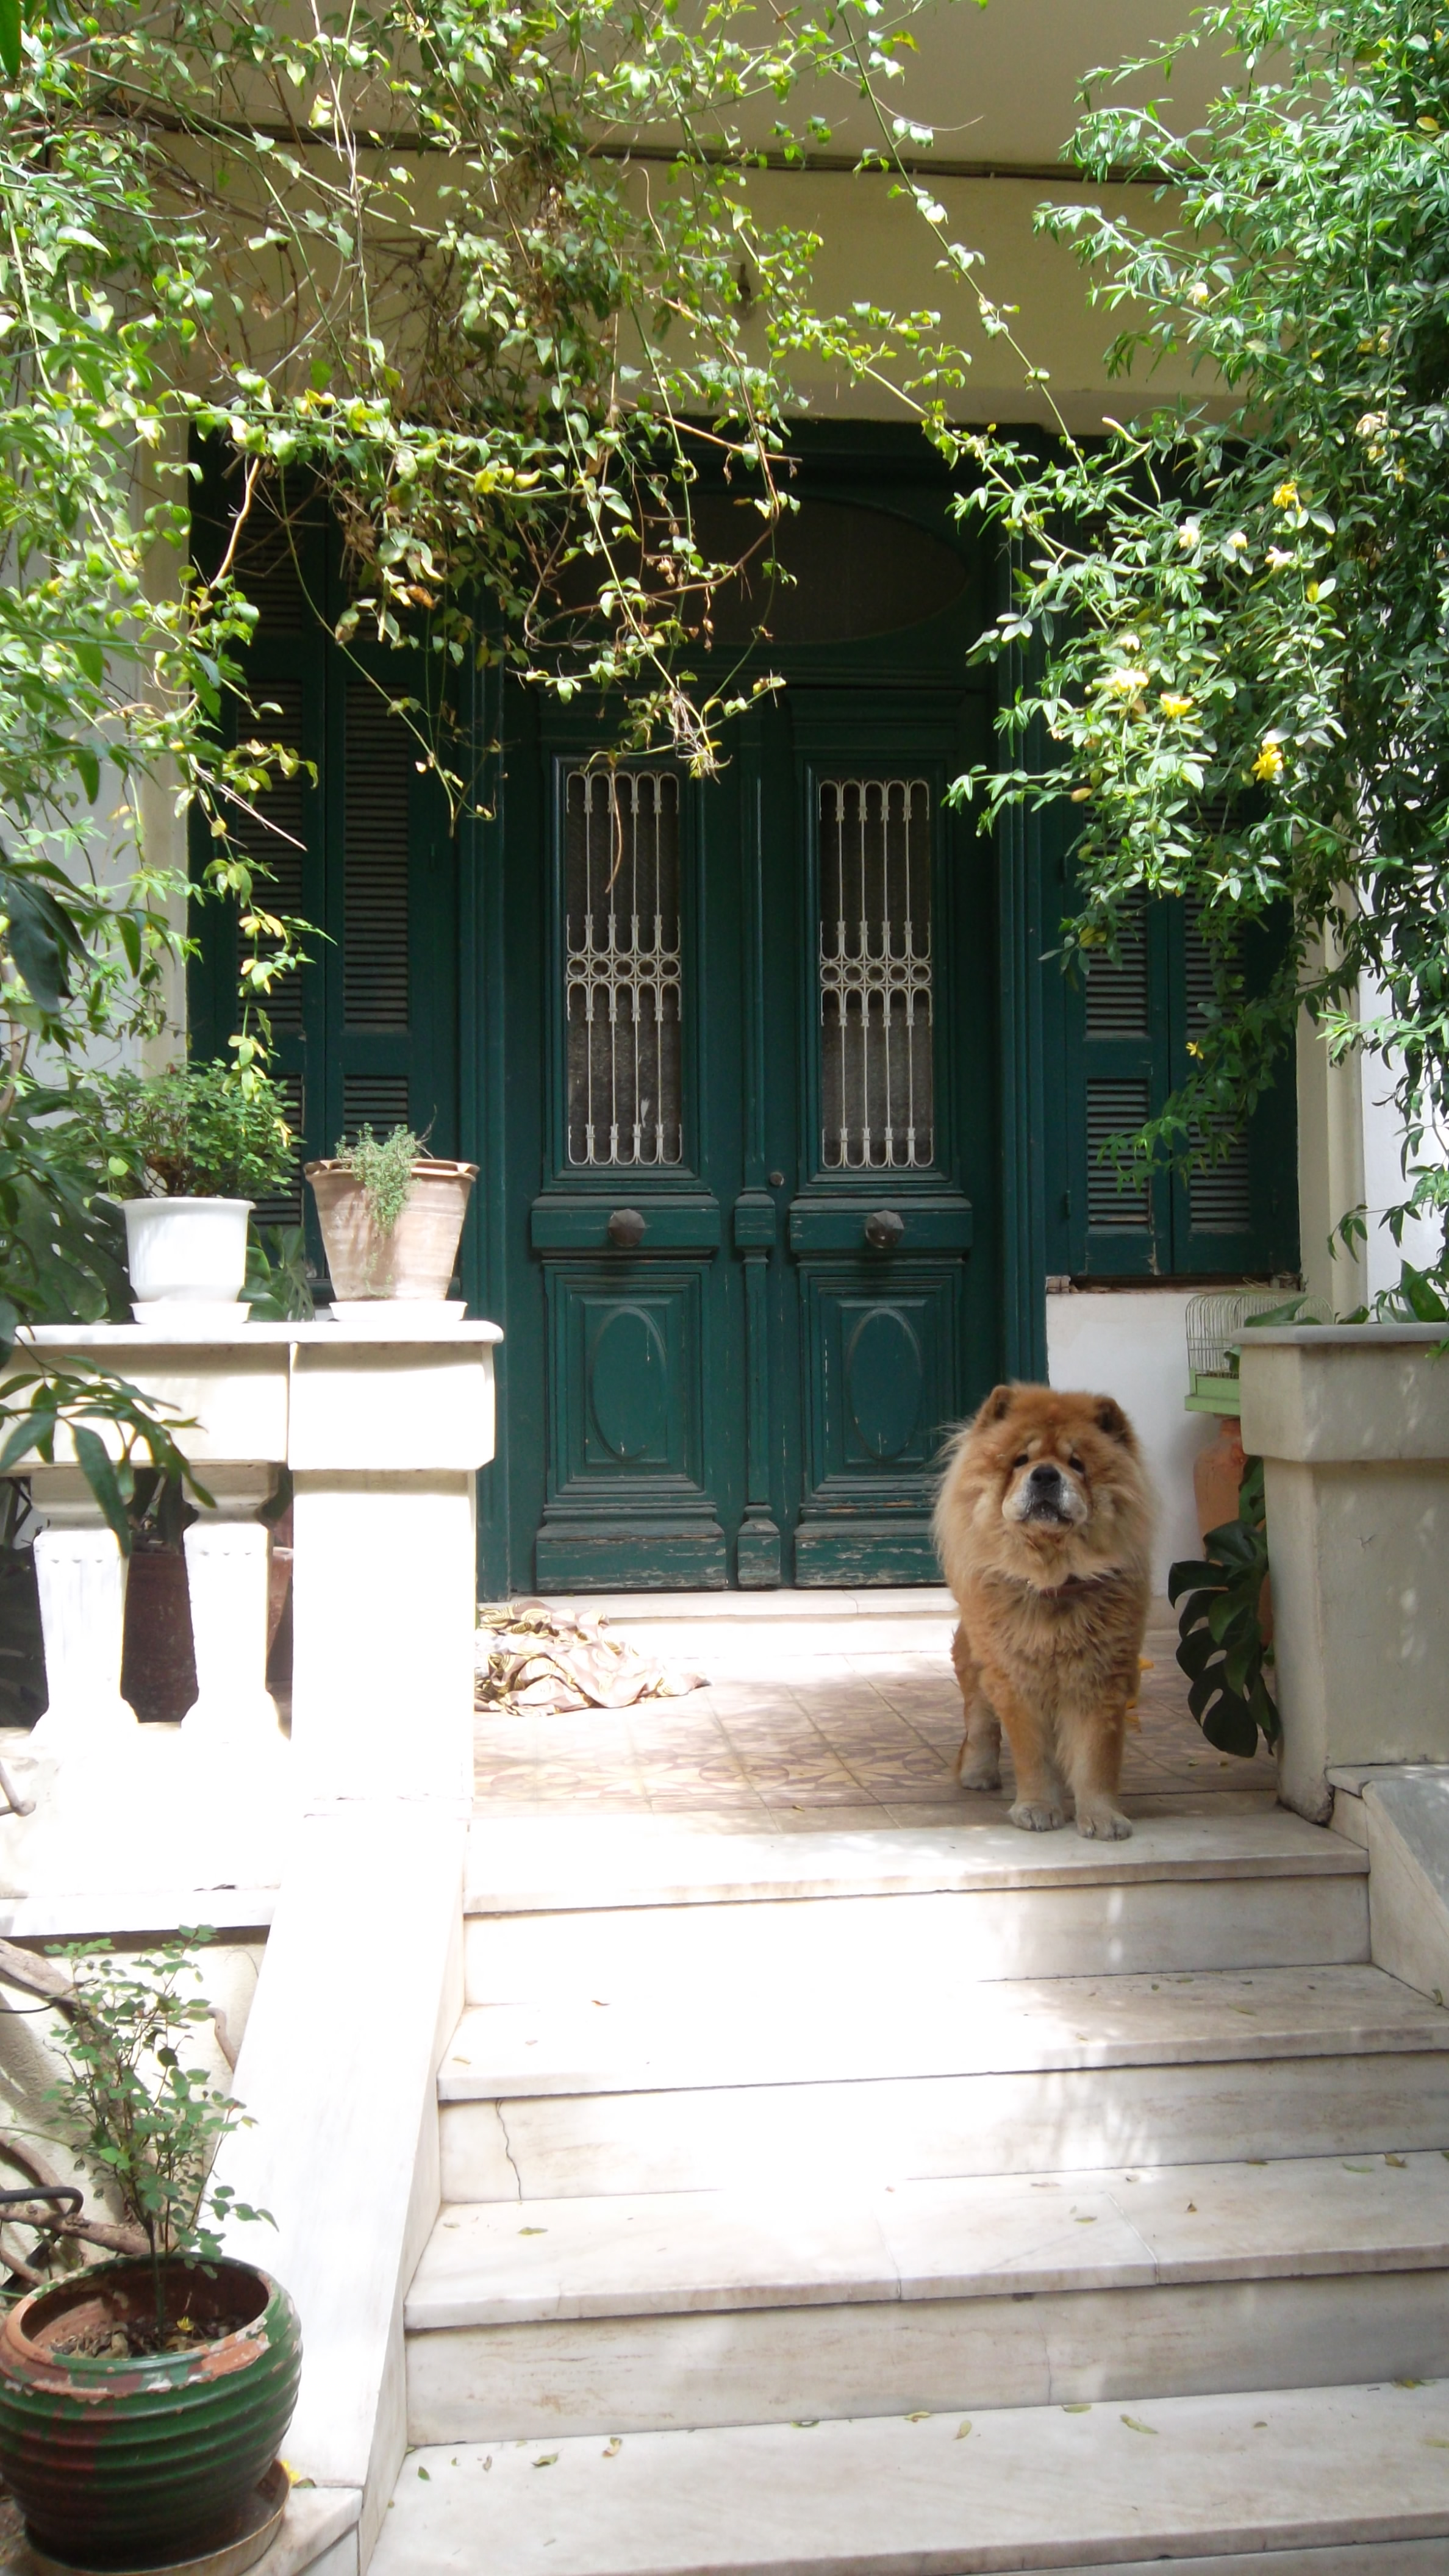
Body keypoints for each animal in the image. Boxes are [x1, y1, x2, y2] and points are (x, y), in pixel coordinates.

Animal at [938, 1381, 1150, 1844]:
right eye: (1021, 1460)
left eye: (1077, 1464)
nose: (1046, 1475)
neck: (1054, 1575)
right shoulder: (1016, 1679)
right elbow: (1031, 1753)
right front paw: (1037, 1809)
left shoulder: (1101, 1678)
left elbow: (1096, 1756)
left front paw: (1103, 1818)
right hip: (978, 1657)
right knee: (979, 1717)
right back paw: (977, 1772)